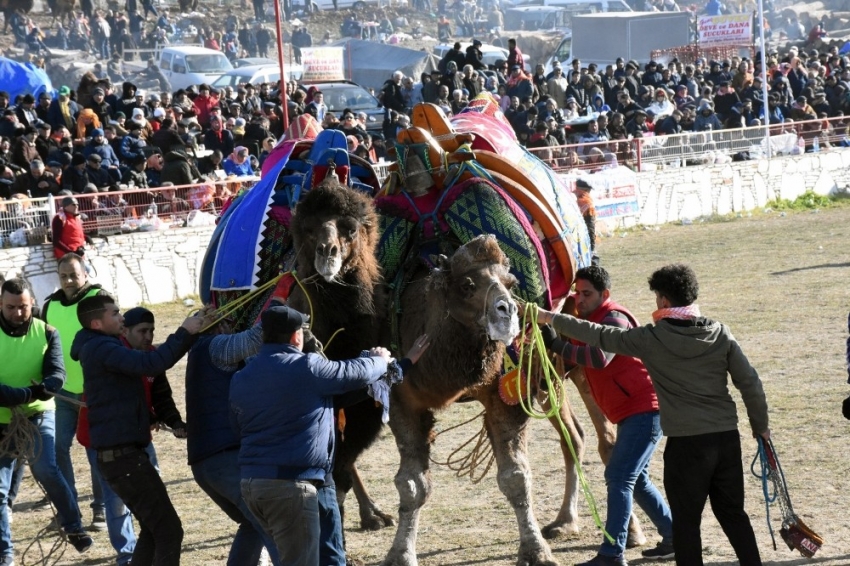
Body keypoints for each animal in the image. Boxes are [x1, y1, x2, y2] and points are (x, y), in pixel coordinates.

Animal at [382, 235, 556, 566]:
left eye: (511, 284)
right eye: (466, 284)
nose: (508, 312)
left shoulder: (507, 390)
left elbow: (516, 477)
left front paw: (536, 551)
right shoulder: (400, 399)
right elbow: (412, 485)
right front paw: (400, 554)